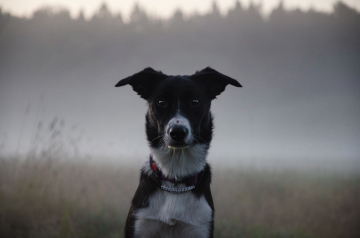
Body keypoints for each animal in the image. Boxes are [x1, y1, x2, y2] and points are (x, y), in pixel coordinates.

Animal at [116, 67, 242, 238]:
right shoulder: (140, 223)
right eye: (161, 102)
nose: (177, 132)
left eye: (195, 101)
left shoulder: (200, 227)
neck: (176, 175)